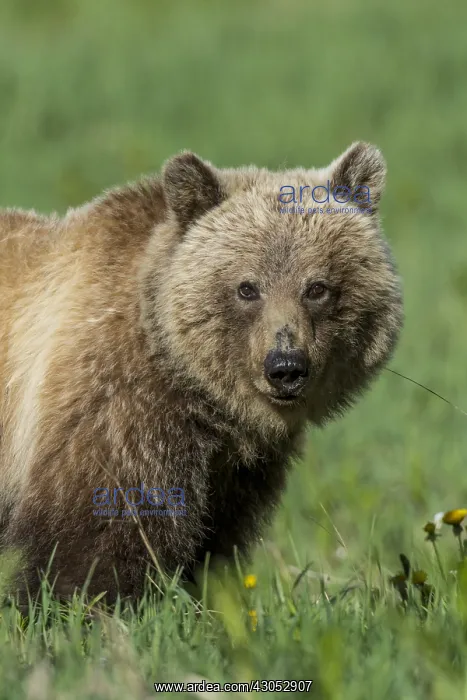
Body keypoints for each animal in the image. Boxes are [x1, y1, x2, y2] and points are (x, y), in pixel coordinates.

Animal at [0, 142, 403, 603]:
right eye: (247, 287)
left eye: (317, 287)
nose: (285, 367)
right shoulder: (114, 410)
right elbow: (97, 535)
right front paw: (85, 602)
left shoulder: (233, 473)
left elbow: (212, 545)